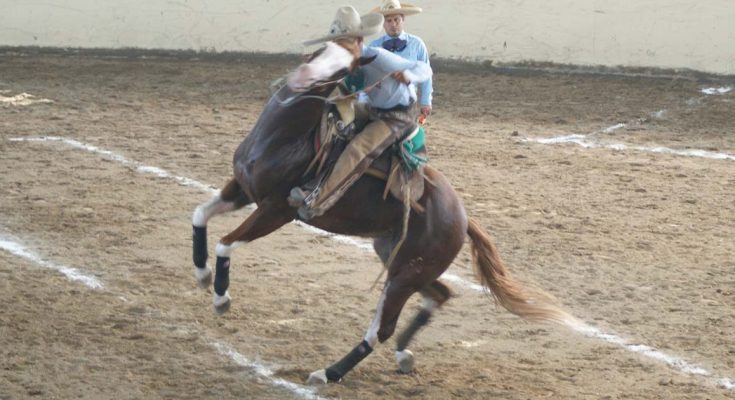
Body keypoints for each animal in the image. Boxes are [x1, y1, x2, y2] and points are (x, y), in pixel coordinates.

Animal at [190, 38, 568, 384]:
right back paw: (403, 354)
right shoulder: (242, 189)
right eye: (321, 50)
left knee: (382, 329)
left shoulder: (276, 211)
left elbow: (226, 243)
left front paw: (221, 298)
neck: (287, 136)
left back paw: (329, 372)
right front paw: (202, 274)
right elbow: (199, 215)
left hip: (405, 274)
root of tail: (462, 217)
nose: (302, 80)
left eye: (344, 70)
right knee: (439, 294)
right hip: (401, 261)